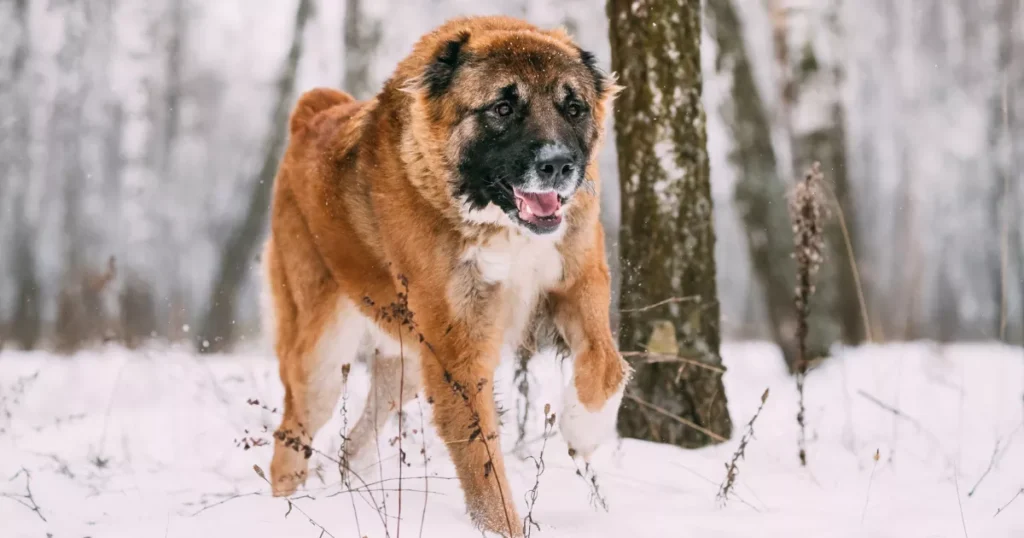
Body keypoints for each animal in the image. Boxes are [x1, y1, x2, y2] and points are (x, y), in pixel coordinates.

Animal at [262, 14, 630, 532]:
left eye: (573, 107)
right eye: (502, 108)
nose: (558, 164)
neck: (497, 220)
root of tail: (311, 114)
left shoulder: (579, 281)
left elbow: (607, 364)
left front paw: (584, 431)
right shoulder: (458, 351)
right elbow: (484, 468)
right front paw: (503, 526)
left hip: (409, 363)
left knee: (354, 444)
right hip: (321, 359)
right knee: (289, 441)